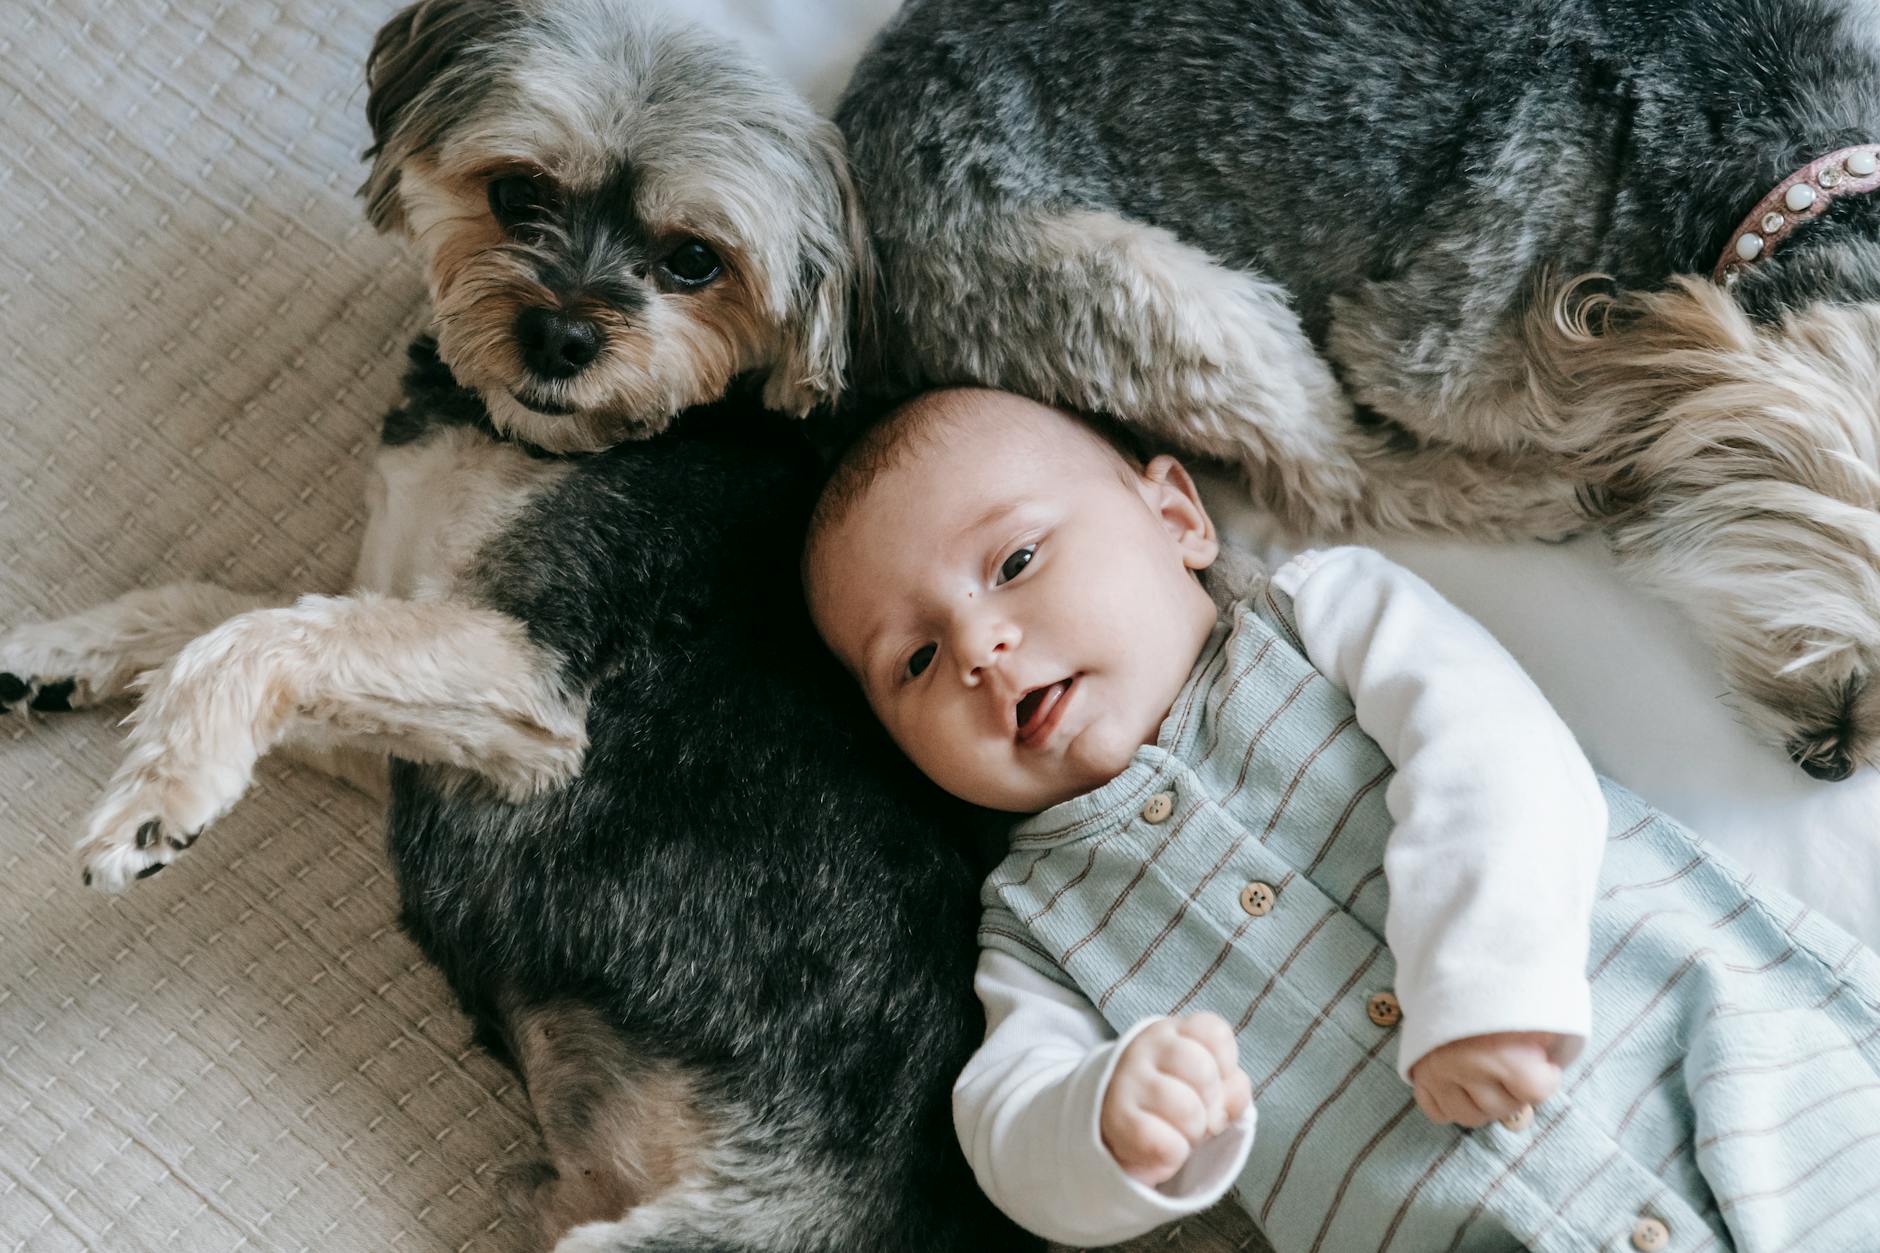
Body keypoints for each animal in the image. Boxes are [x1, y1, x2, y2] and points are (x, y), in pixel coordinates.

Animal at [0, 0, 1030, 1241]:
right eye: (517, 193)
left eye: (694, 259)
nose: (559, 337)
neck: (532, 440)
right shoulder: (402, 704)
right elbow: (217, 609)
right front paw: (48, 657)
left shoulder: (527, 689)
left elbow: (262, 634)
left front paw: (159, 798)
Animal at [842, 0, 1880, 782]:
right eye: (1818, 632)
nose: (1836, 761)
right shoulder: (1424, 345)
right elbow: (1569, 406)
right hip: (1153, 295)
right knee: (1339, 476)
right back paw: (1532, 495)